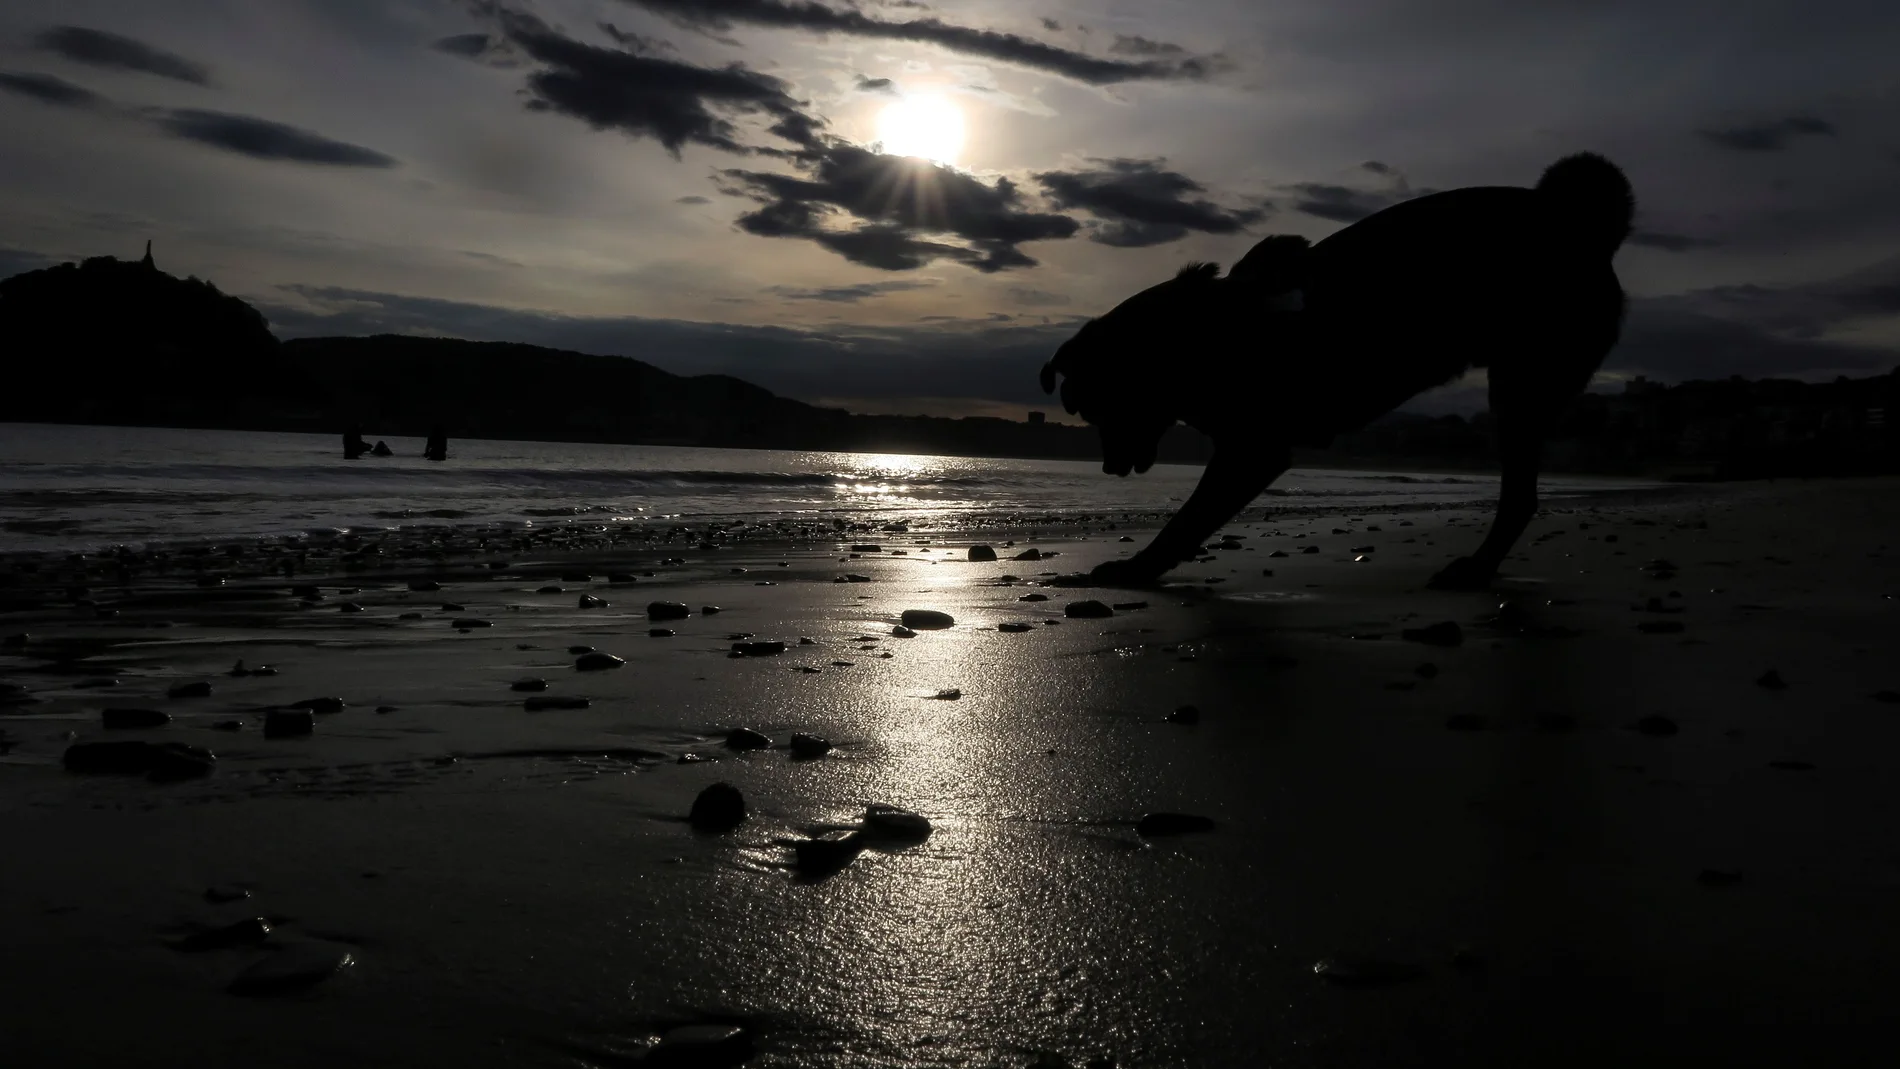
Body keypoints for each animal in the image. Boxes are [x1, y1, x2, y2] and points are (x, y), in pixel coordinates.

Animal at [1041, 152, 1634, 584]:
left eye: (1094, 409)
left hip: (1522, 383)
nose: (1108, 469)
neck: (1193, 340)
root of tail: (1578, 222)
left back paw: (1475, 569)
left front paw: (1137, 569)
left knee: (1519, 496)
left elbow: (1187, 520)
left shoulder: (1252, 448)